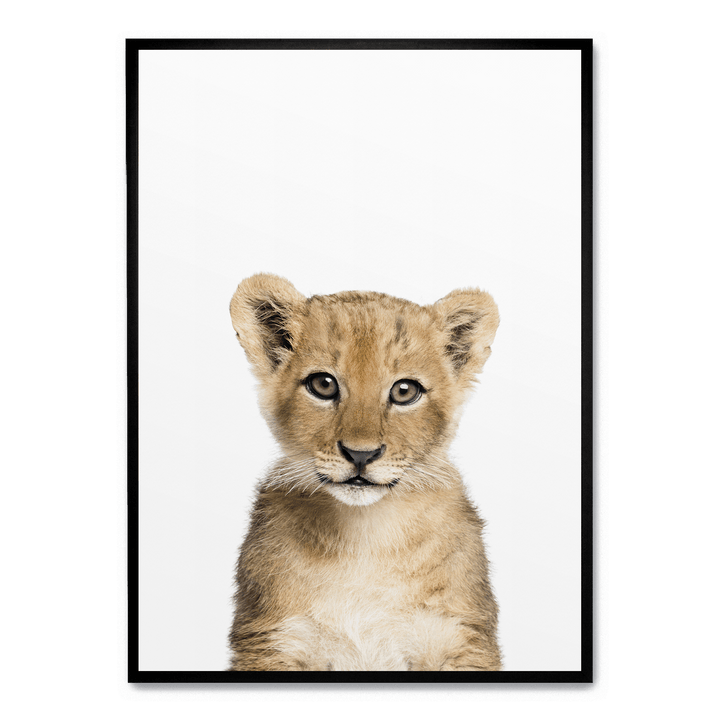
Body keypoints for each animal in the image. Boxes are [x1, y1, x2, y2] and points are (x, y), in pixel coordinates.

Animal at [227, 273, 502, 671]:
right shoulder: (273, 638)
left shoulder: (459, 637)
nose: (361, 454)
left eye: (405, 391)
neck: (365, 536)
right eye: (323, 385)